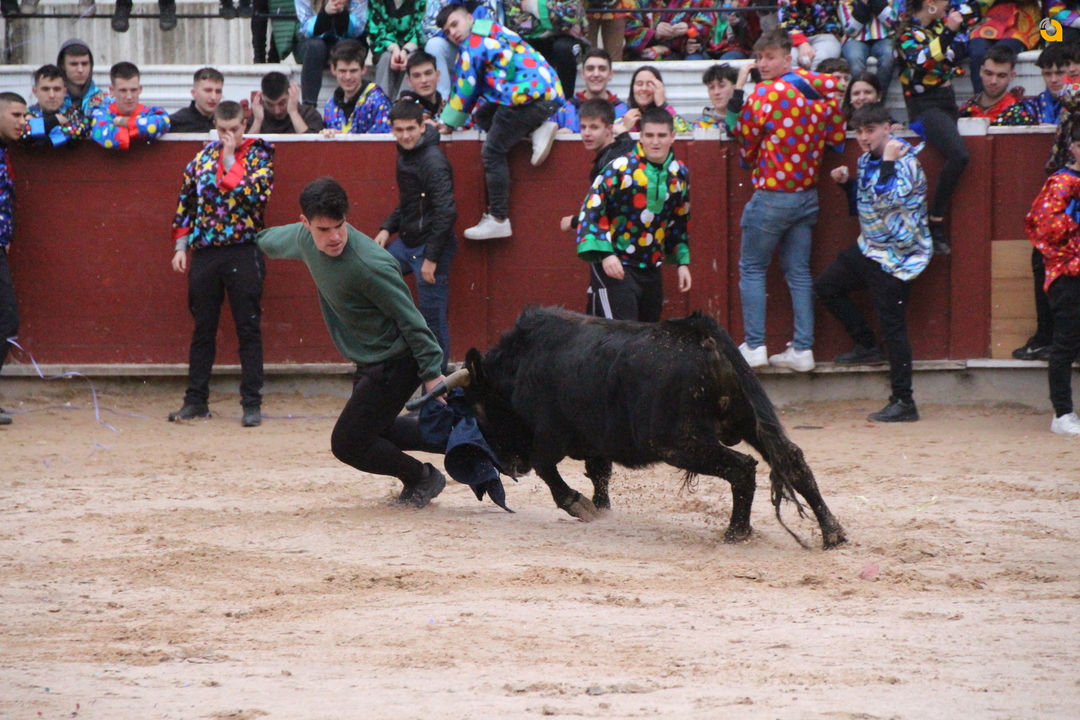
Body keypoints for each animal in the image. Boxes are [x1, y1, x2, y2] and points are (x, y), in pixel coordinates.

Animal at [410, 307, 847, 549]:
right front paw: (601, 509)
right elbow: (599, 472)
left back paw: (736, 534)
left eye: (478, 408)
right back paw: (833, 534)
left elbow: (551, 473)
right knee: (791, 458)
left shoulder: (550, 439)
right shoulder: (594, 441)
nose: (509, 465)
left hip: (679, 442)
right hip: (748, 420)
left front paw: (580, 505)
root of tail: (700, 332)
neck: (519, 367)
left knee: (742, 469)